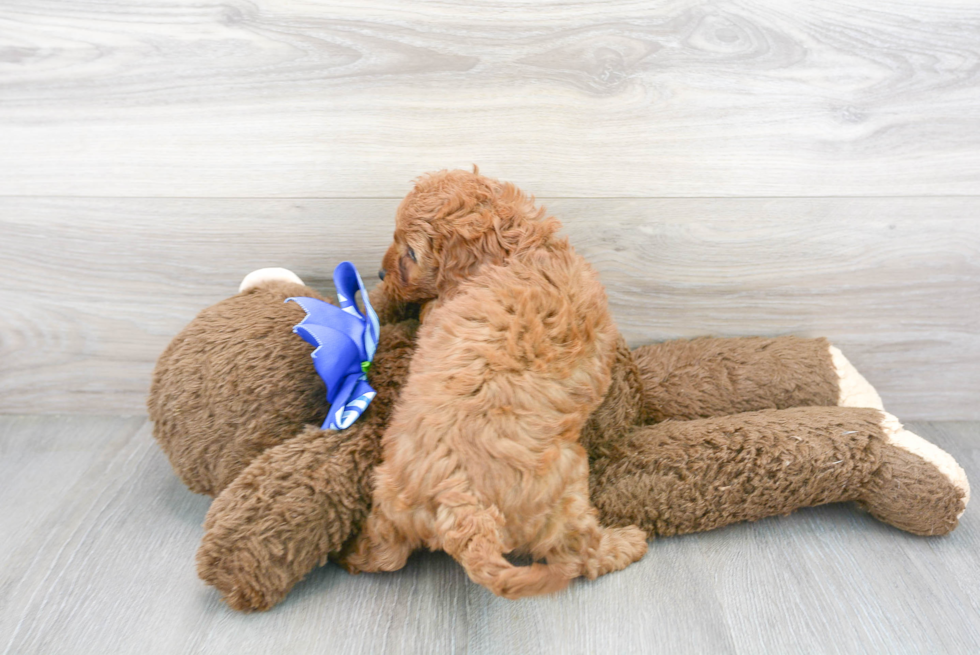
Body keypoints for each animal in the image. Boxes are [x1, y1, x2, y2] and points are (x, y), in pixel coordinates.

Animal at [340, 172, 648, 604]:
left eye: (410, 253)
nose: (382, 275)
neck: (520, 251)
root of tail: (463, 512)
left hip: (390, 498)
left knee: (385, 554)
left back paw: (352, 554)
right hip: (567, 489)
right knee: (582, 555)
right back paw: (626, 544)